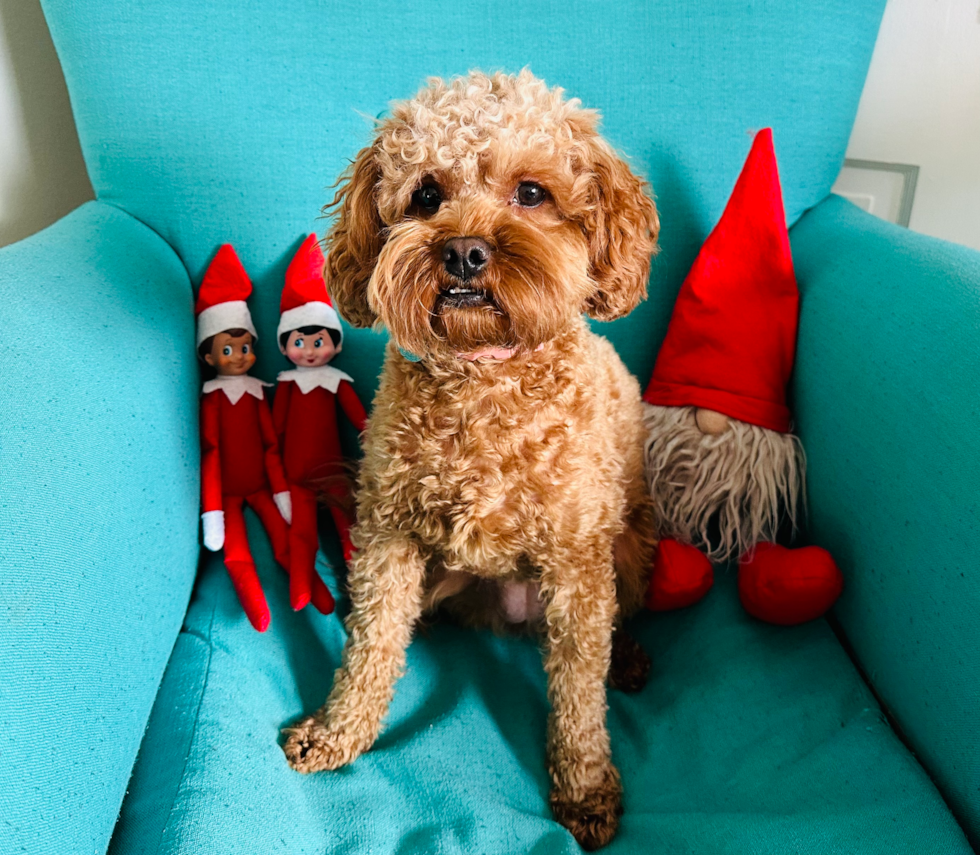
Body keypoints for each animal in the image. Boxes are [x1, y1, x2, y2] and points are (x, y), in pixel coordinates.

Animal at [286, 68, 668, 848]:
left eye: (532, 192)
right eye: (426, 195)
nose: (463, 251)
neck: (484, 375)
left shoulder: (579, 568)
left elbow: (579, 693)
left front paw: (585, 788)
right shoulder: (389, 535)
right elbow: (370, 646)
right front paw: (339, 731)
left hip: (633, 545)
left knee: (618, 626)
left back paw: (631, 658)